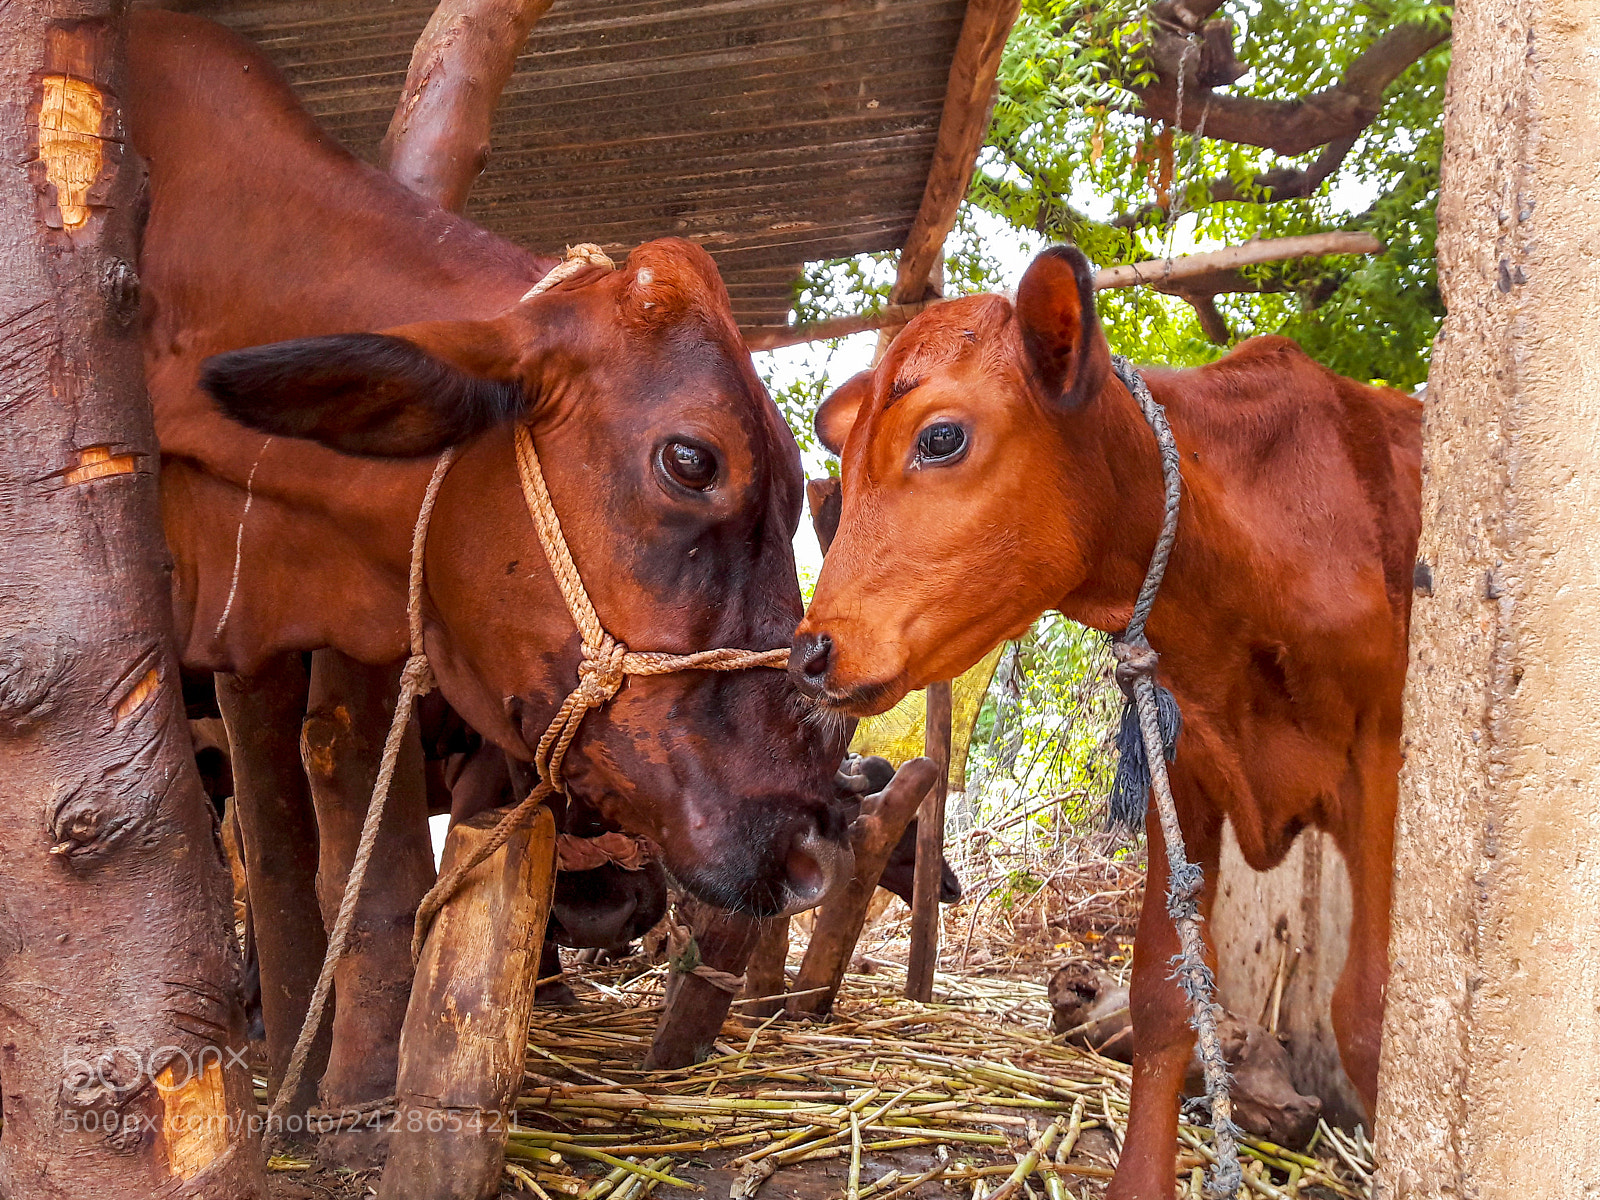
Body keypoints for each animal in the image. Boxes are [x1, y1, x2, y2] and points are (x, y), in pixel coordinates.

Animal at [789, 246, 1420, 1198]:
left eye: (940, 438)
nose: (809, 651)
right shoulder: (1186, 765)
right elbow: (1165, 994)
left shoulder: (1382, 760)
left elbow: (1372, 1010)